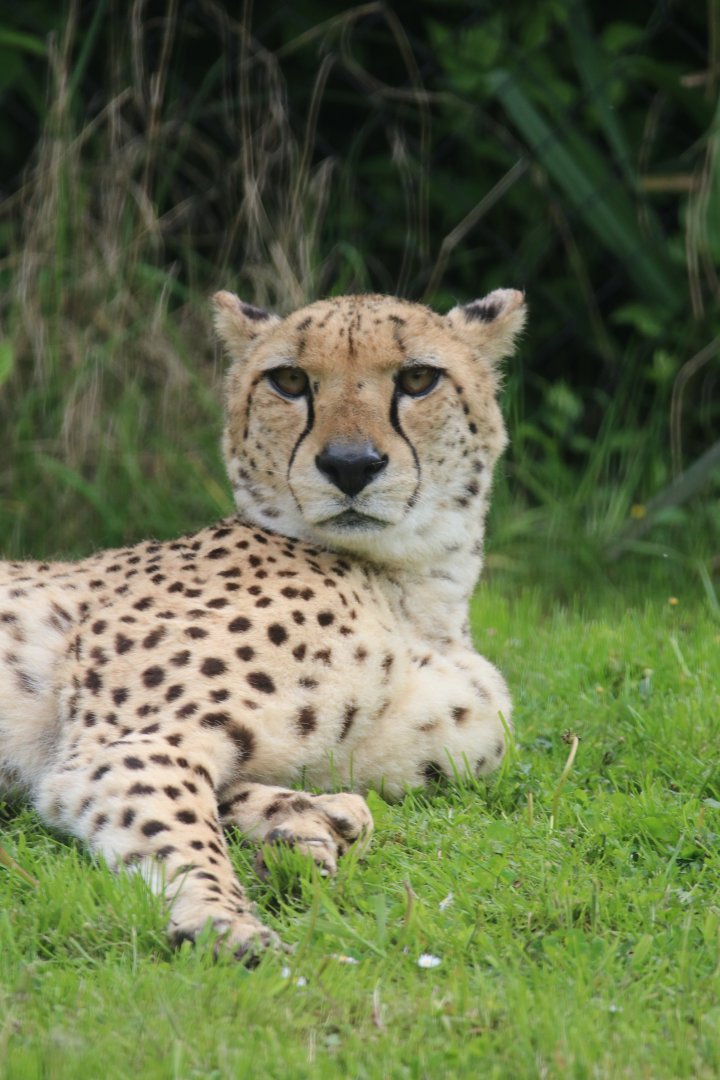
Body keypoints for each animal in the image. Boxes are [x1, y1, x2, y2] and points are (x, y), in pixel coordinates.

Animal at [0, 286, 526, 960]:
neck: (411, 589)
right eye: (290, 380)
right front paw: (223, 918)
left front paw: (306, 822)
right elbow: (178, 826)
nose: (350, 465)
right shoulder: (120, 749)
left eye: (417, 378)